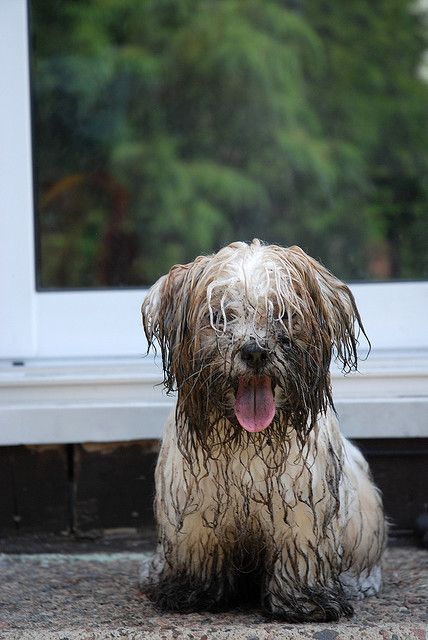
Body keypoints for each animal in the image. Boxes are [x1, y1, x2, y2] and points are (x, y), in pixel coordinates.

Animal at [140, 240, 384, 620]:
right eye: (220, 316)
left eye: (282, 312)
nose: (254, 351)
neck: (249, 436)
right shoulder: (195, 505)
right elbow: (196, 544)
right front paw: (190, 591)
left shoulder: (303, 504)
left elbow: (301, 549)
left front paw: (305, 600)